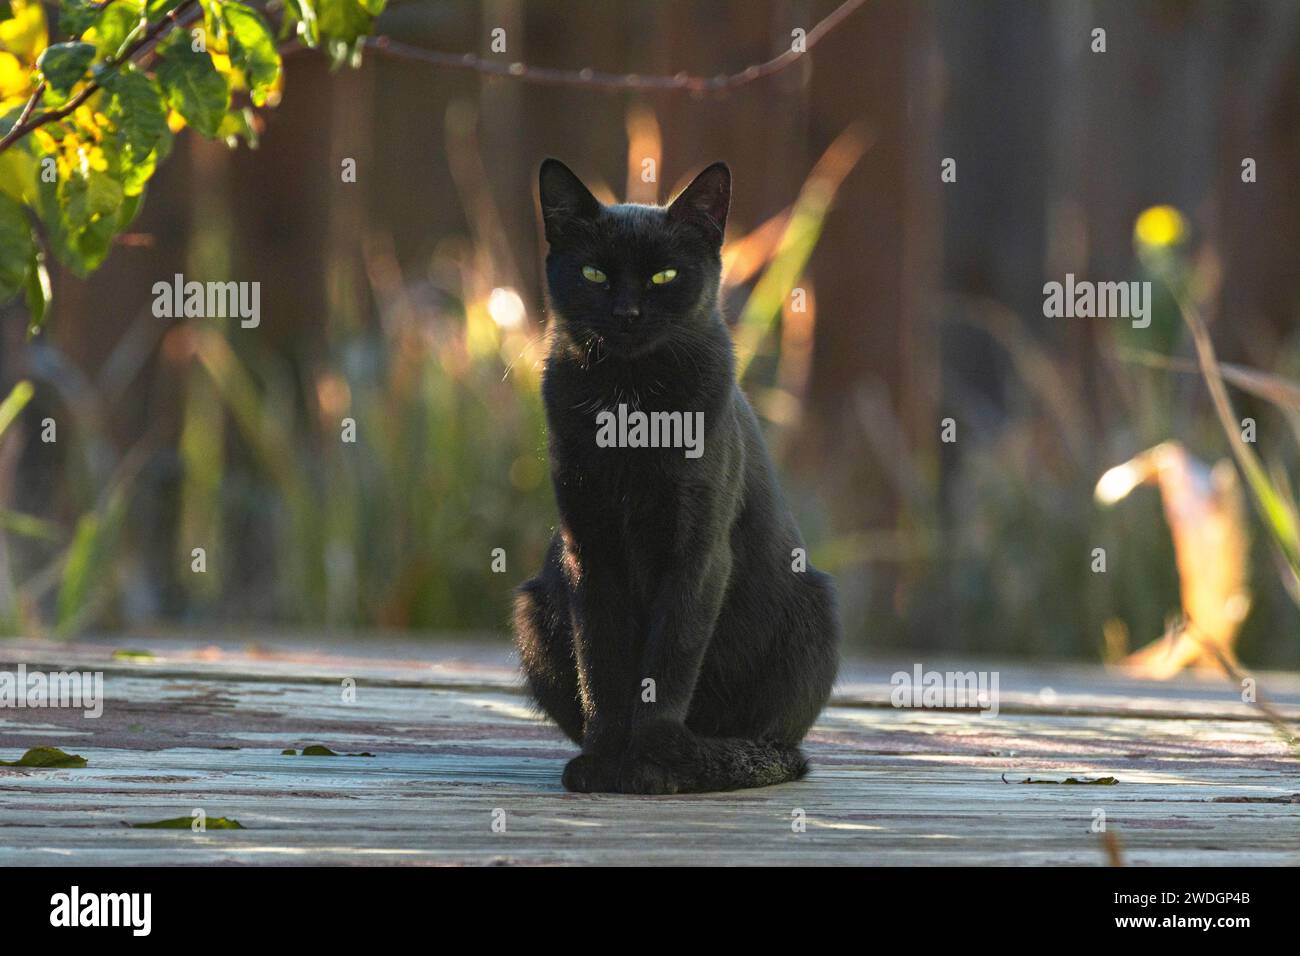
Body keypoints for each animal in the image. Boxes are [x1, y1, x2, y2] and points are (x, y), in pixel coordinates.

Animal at [512, 160, 837, 796]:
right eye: (594, 273)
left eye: (664, 275)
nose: (627, 315)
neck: (632, 408)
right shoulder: (589, 551)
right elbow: (602, 665)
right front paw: (604, 760)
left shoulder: (698, 553)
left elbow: (666, 664)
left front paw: (650, 762)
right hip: (535, 609)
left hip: (814, 612)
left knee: (780, 748)